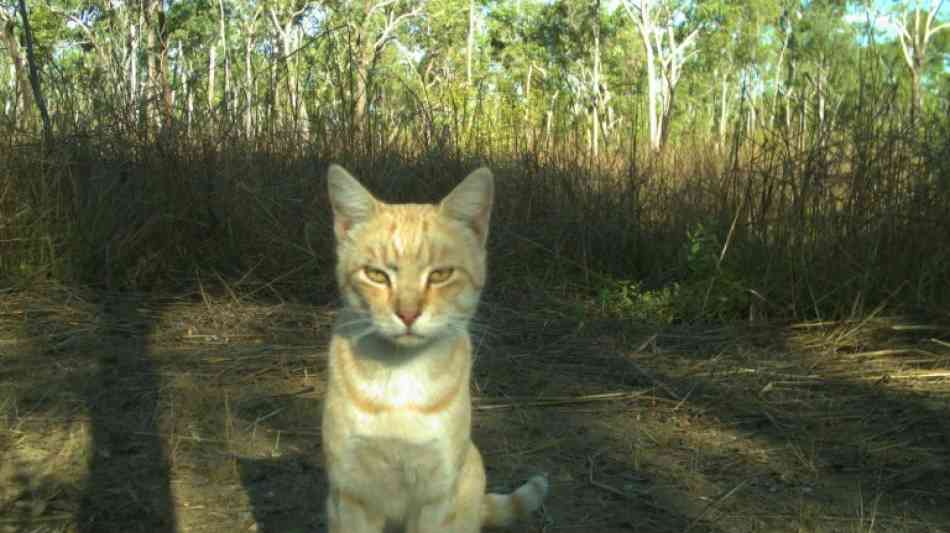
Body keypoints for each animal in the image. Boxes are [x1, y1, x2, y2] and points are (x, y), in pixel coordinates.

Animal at [324, 164, 548, 528]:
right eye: (376, 275)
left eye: (441, 275)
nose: (408, 313)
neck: (402, 375)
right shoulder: (351, 495)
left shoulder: (435, 497)